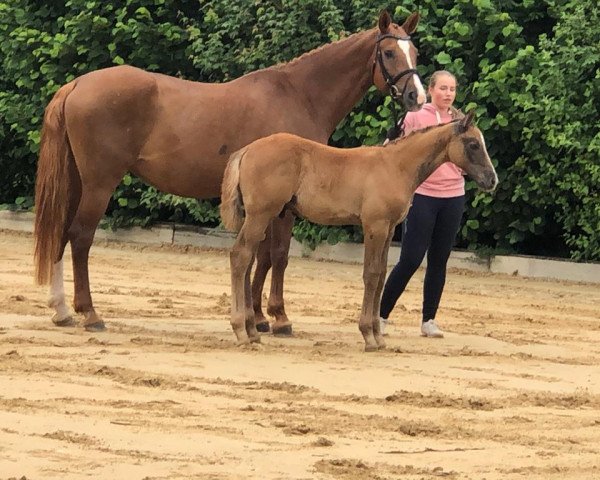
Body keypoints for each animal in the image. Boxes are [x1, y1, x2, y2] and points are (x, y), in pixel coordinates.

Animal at [220, 112, 496, 350]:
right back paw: (241, 330)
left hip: (258, 217)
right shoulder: (374, 226)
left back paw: (252, 330)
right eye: (473, 144)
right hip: (261, 215)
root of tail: (247, 150)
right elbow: (371, 275)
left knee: (246, 260)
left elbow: (382, 274)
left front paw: (378, 336)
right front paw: (369, 336)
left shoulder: (389, 229)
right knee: (240, 256)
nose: (492, 180)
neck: (395, 166)